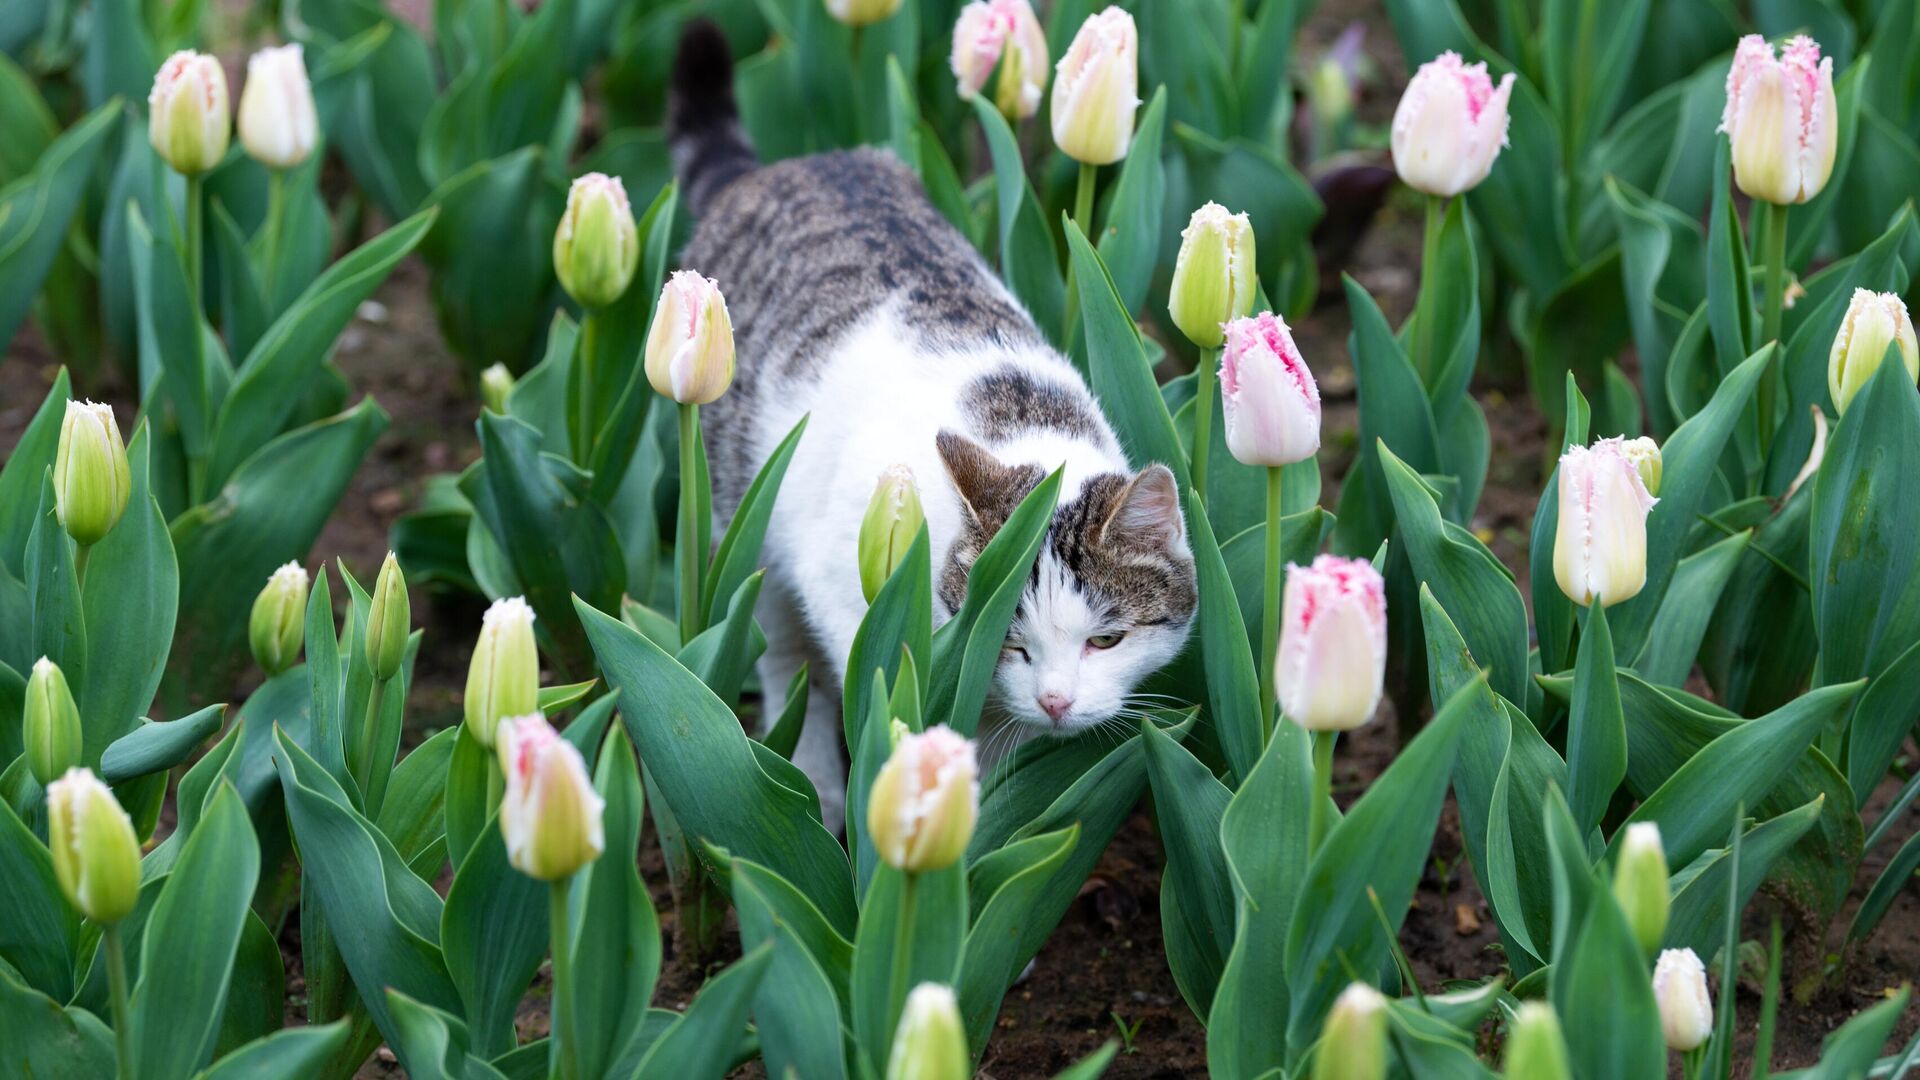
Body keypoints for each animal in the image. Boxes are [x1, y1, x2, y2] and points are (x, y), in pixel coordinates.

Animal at [668, 21, 1190, 818]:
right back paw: (818, 782)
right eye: (1014, 644)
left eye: (1106, 642)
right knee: (787, 660)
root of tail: (784, 170)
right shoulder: (838, 585)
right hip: (747, 518)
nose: (1056, 701)